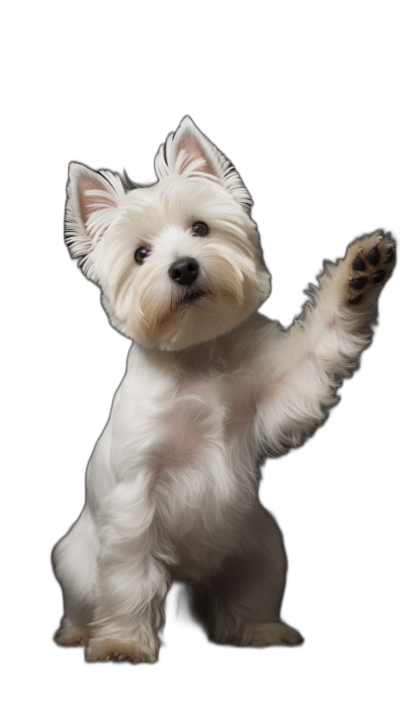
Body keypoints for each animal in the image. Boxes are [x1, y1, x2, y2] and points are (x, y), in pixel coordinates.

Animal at [51, 117, 396, 660]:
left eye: (200, 228)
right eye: (141, 254)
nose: (184, 267)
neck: (198, 356)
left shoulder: (280, 392)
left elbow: (317, 343)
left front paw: (360, 276)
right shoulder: (135, 497)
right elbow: (130, 577)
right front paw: (123, 643)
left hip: (260, 547)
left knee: (242, 601)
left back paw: (259, 631)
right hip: (78, 562)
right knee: (89, 597)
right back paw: (83, 632)